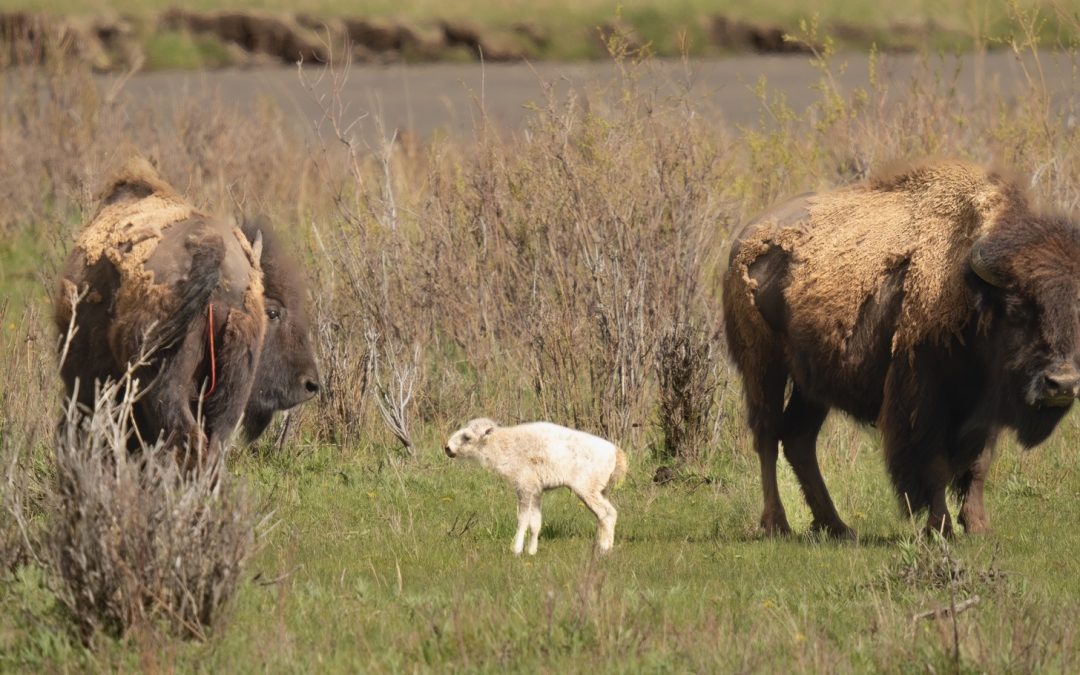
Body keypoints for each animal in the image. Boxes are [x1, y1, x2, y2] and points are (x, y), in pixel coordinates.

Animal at [444, 419, 630, 557]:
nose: (447, 448)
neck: (504, 445)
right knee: (610, 513)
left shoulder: (524, 487)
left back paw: (603, 549)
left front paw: (516, 550)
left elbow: (522, 520)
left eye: (467, 437)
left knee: (605, 514)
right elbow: (535, 523)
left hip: (587, 490)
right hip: (599, 492)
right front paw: (532, 551)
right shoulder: (536, 491)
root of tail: (617, 453)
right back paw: (607, 548)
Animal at [721, 158, 1080, 537]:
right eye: (1017, 308)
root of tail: (743, 240)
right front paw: (940, 528)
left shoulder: (986, 407)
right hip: (764, 367)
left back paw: (837, 526)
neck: (973, 291)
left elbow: (978, 466)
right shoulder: (923, 402)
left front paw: (978, 527)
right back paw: (778, 524)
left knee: (798, 439)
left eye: (1078, 307)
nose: (1062, 384)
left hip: (812, 383)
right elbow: (934, 465)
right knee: (767, 435)